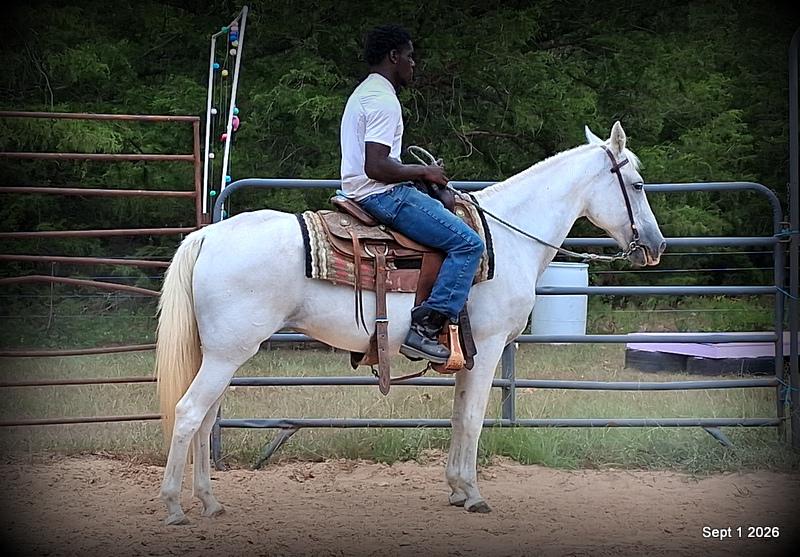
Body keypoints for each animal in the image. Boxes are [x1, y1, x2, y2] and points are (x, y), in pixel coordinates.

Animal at [155, 121, 666, 525]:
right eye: (638, 184)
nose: (656, 245)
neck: (506, 239)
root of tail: (207, 236)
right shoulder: (490, 347)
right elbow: (474, 419)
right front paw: (474, 495)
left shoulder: (467, 353)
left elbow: (459, 416)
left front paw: (457, 488)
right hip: (228, 353)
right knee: (189, 413)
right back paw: (175, 506)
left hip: (219, 353)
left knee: (205, 419)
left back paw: (209, 502)